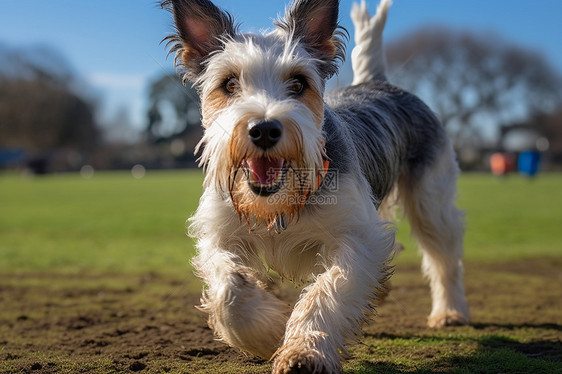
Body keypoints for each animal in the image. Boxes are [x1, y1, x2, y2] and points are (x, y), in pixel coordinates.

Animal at [160, 0, 466, 372]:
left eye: (298, 82)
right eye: (229, 83)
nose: (264, 129)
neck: (279, 204)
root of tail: (376, 81)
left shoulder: (356, 236)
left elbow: (329, 291)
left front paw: (304, 351)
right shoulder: (220, 234)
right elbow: (230, 290)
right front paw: (266, 334)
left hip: (431, 202)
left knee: (444, 257)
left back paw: (450, 312)